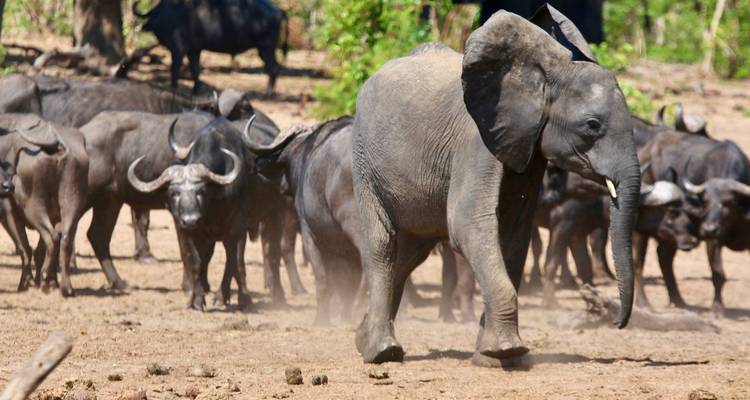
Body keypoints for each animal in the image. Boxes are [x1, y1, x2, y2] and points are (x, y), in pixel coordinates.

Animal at [351, 6, 639, 366]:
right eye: (592, 125)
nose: (617, 323)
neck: (541, 76)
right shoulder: (476, 142)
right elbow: (469, 225)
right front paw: (508, 351)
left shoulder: (527, 149)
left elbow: (513, 233)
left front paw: (492, 357)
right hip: (364, 162)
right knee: (382, 247)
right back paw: (382, 353)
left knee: (409, 254)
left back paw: (362, 340)